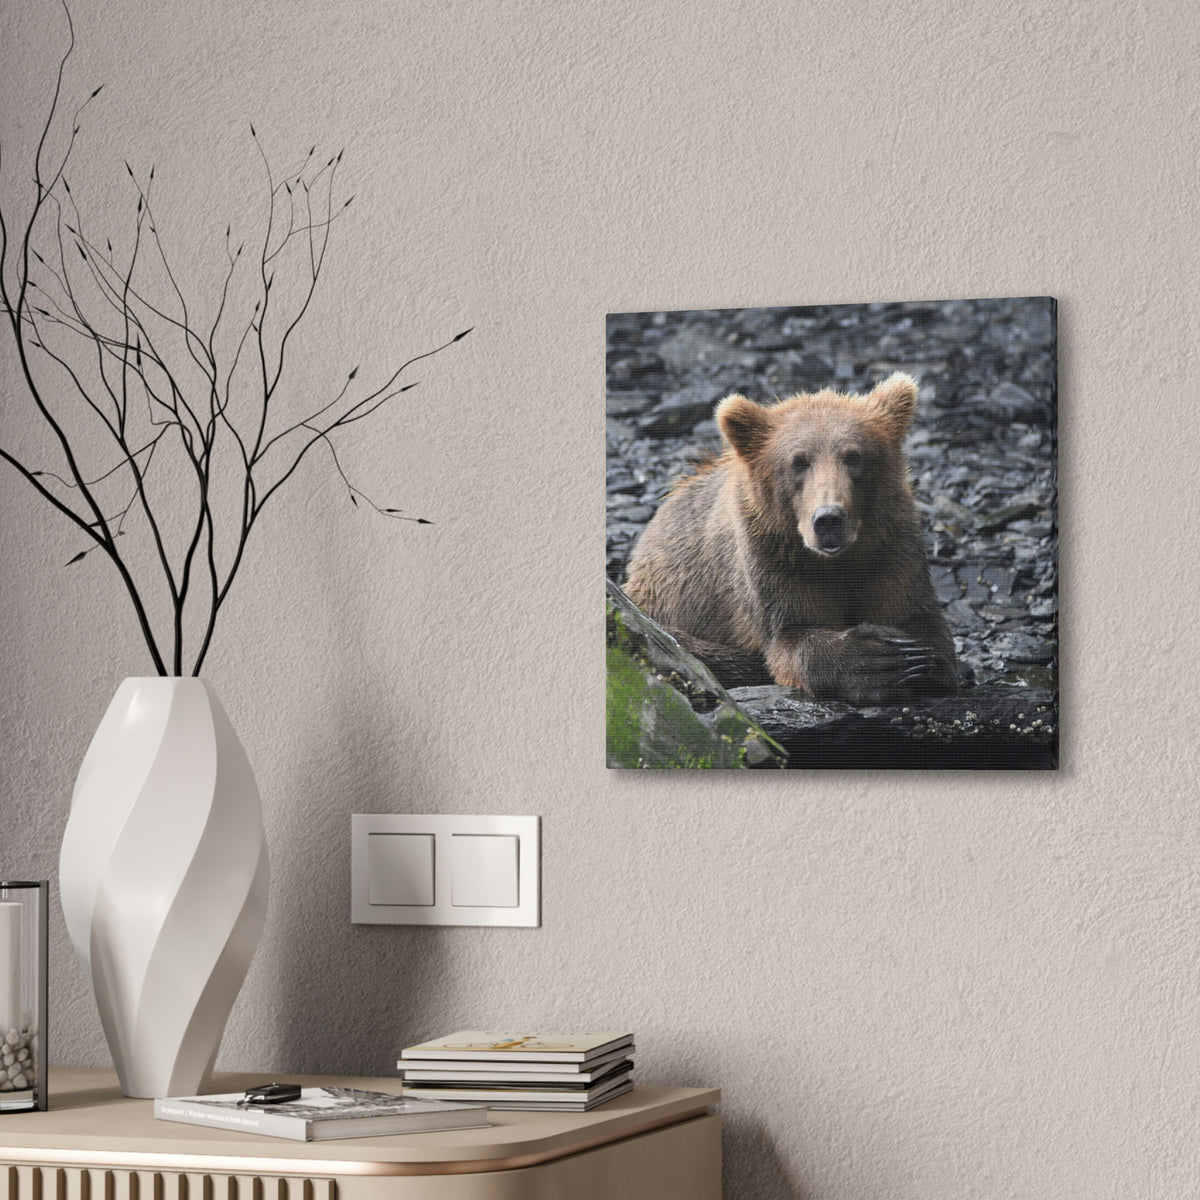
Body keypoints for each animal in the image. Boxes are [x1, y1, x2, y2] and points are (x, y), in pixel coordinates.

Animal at [623, 372, 957, 705]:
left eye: (854, 456)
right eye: (798, 461)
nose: (828, 520)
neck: (838, 560)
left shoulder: (891, 546)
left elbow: (918, 619)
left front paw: (913, 658)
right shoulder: (774, 558)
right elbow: (792, 635)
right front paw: (877, 659)